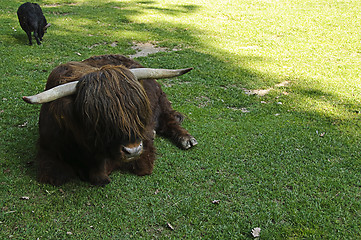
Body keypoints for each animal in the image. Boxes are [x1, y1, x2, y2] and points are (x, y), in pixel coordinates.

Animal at [23, 54, 197, 186]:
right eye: (97, 117)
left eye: (137, 110)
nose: (133, 150)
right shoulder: (48, 151)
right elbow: (56, 175)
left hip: (161, 99)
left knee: (169, 118)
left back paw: (186, 138)